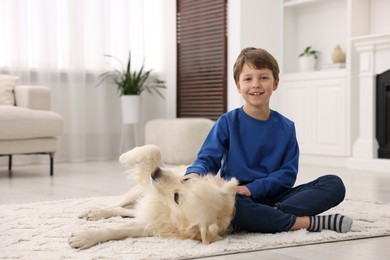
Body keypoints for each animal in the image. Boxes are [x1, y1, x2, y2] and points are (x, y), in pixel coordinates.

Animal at [68, 143, 238, 249]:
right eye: (187, 179)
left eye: (177, 198)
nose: (156, 172)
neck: (165, 207)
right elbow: (153, 149)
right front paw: (125, 156)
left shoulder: (150, 225)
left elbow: (117, 230)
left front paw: (86, 237)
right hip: (136, 193)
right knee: (118, 205)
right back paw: (94, 211)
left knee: (126, 210)